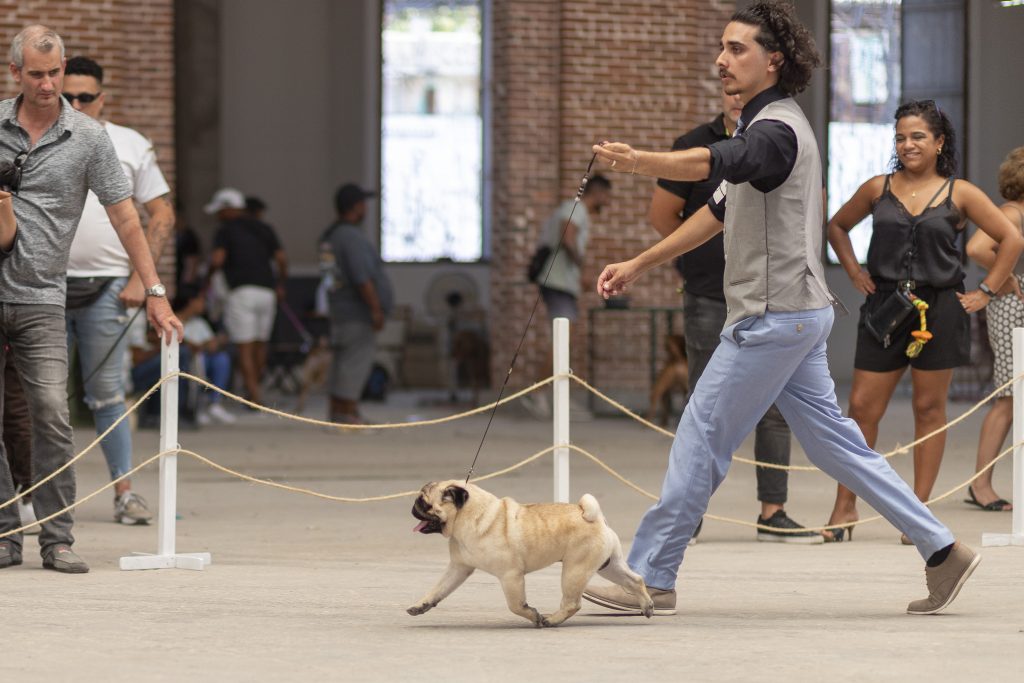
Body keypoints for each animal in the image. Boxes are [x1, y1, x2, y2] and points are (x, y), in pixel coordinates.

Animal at [405, 479, 651, 626]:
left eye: (424, 503)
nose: (412, 507)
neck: (470, 516)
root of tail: (593, 516)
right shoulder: (458, 568)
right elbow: (438, 589)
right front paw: (421, 605)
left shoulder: (511, 575)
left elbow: (515, 605)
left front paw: (534, 615)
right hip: (608, 566)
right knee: (635, 580)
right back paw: (647, 606)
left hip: (575, 570)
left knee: (572, 603)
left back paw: (551, 620)